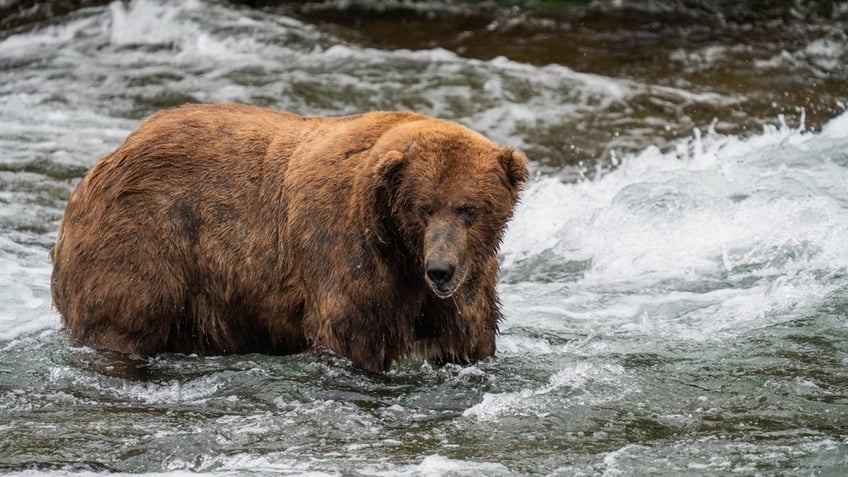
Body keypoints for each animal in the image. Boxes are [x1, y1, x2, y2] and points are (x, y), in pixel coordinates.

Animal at [49, 103, 528, 372]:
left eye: (469, 208)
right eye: (423, 207)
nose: (441, 270)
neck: (400, 249)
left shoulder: (468, 281)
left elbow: (469, 338)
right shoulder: (348, 253)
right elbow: (351, 335)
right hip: (146, 238)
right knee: (123, 318)